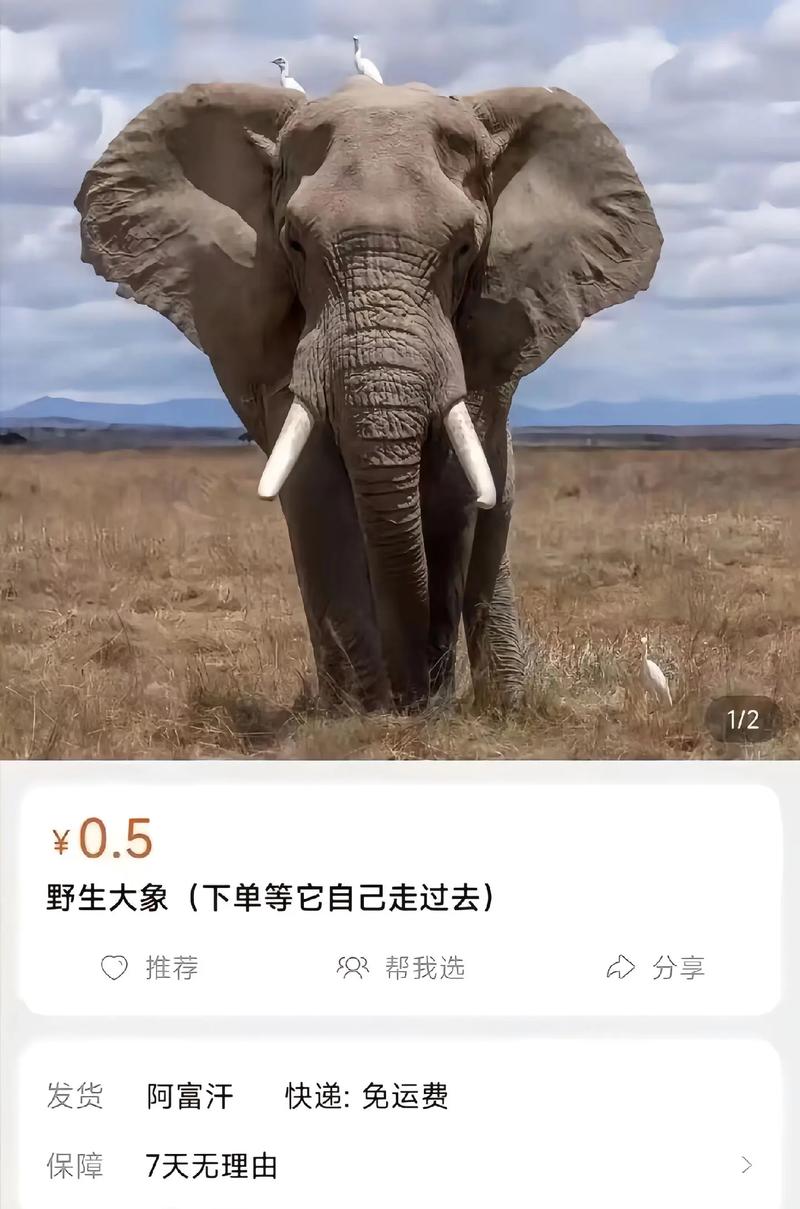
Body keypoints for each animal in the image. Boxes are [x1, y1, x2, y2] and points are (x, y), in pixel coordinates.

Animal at [74, 76, 662, 712]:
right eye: (295, 245)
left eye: (465, 247)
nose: (414, 697)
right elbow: (315, 489)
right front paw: (361, 715)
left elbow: (454, 489)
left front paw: (426, 707)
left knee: (494, 507)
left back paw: (505, 704)